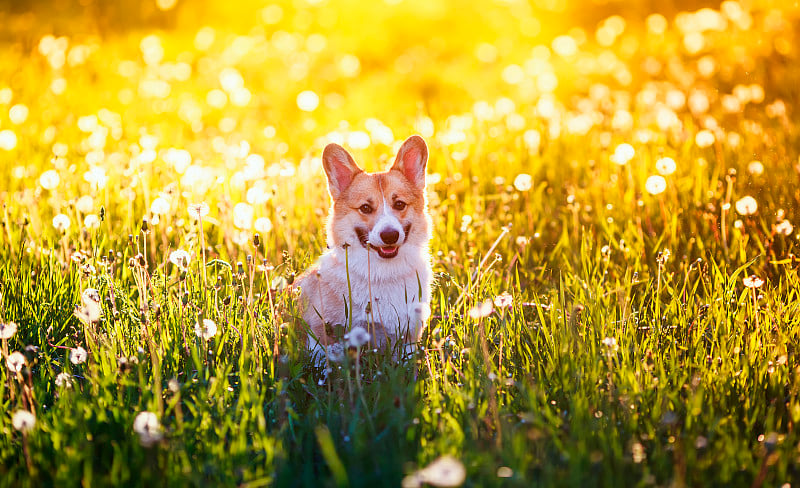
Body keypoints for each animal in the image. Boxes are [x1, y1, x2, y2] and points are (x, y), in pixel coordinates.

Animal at [296, 134, 432, 362]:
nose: (390, 235)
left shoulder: (408, 337)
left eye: (399, 204)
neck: (382, 273)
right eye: (365, 208)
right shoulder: (322, 334)